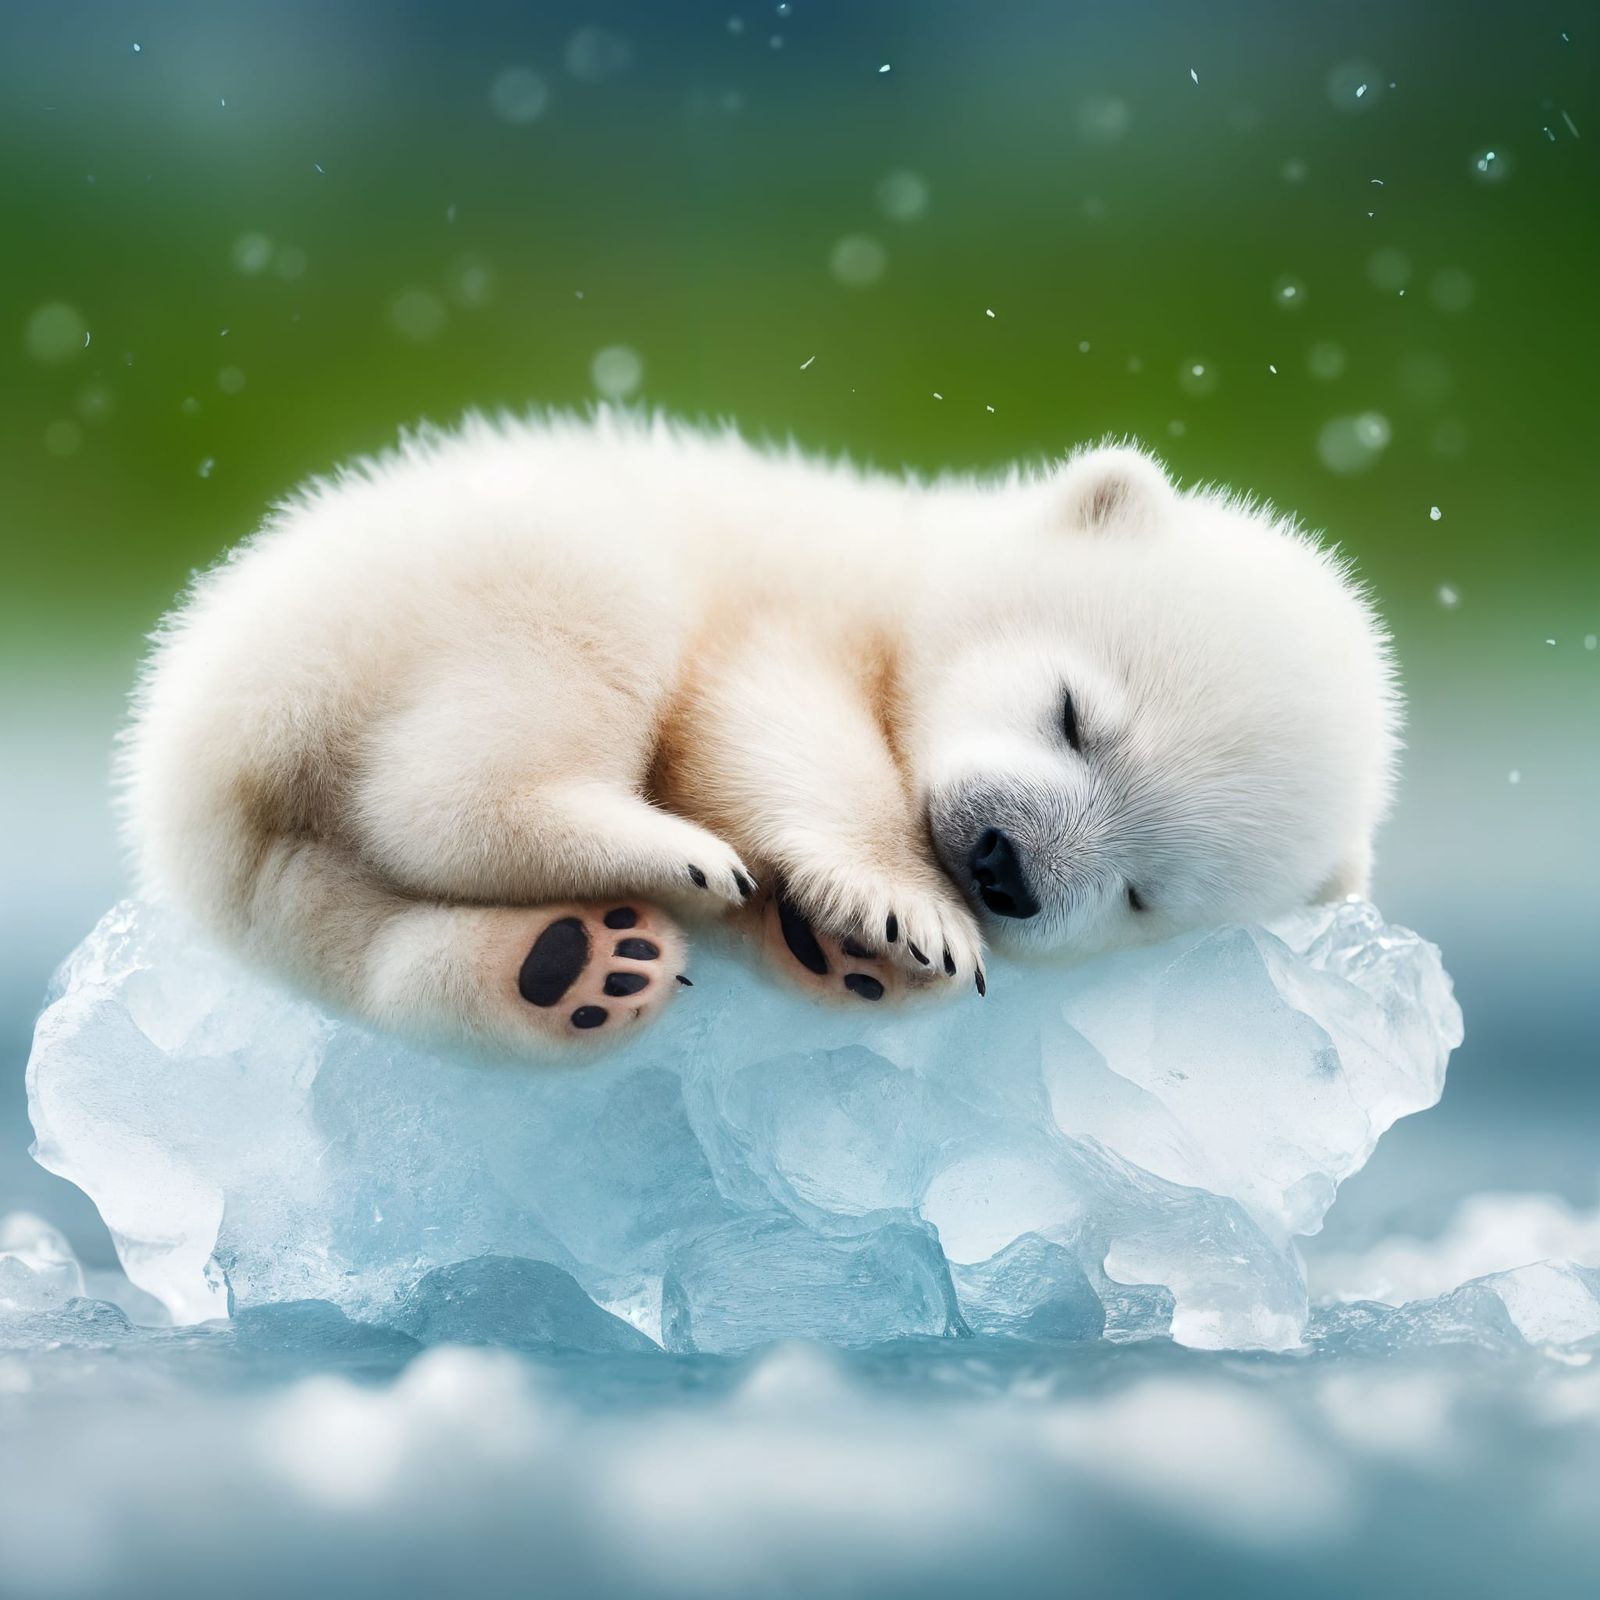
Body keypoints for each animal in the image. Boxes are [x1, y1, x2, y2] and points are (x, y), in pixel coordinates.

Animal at [120, 410, 1400, 1057]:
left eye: (1145, 891)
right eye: (1075, 714)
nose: (1002, 867)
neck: (905, 563)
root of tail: (197, 732)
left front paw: (836, 950)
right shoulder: (800, 594)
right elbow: (765, 718)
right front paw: (903, 911)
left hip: (278, 871)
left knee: (357, 940)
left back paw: (574, 964)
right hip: (469, 587)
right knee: (498, 728)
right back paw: (651, 853)